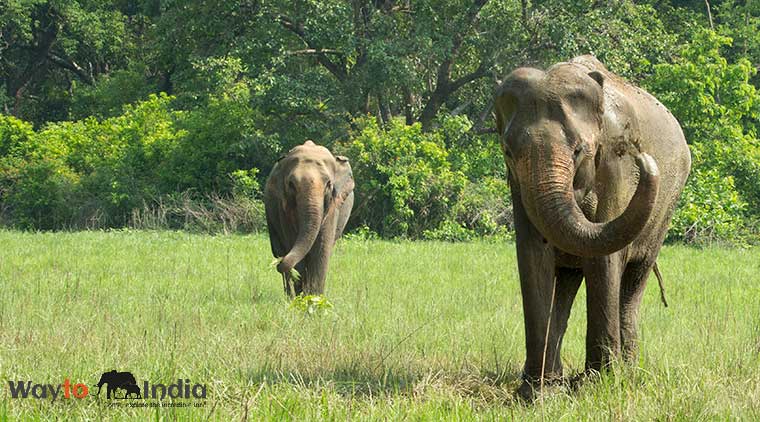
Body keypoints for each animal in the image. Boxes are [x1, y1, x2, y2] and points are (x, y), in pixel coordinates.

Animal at [264, 140, 355, 298]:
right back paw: (289, 296)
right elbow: (292, 241)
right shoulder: (284, 208)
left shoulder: (332, 207)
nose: (279, 264)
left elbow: (322, 249)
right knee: (279, 248)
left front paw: (315, 298)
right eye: (291, 184)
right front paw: (302, 297)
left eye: (328, 184)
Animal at [493, 55, 691, 399]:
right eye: (507, 151)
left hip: (665, 212)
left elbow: (604, 260)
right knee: (566, 283)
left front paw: (596, 385)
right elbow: (532, 255)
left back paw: (628, 371)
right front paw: (535, 393)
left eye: (578, 150)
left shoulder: (615, 167)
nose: (642, 155)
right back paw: (557, 378)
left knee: (633, 282)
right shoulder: (517, 185)